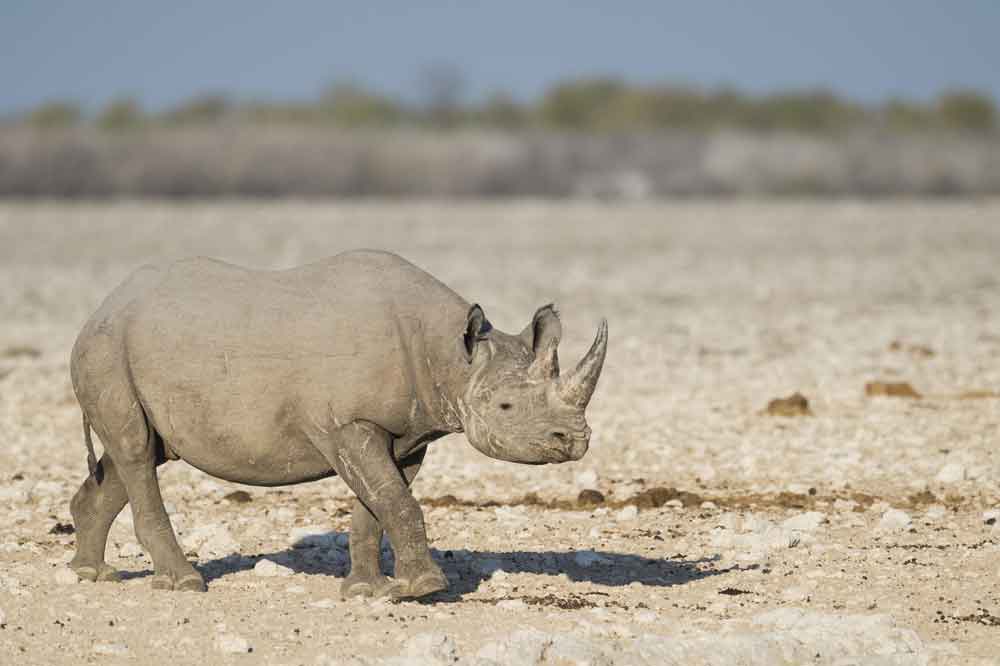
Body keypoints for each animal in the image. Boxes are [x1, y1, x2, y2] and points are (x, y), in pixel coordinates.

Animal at [70, 250, 604, 596]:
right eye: (507, 408)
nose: (575, 442)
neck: (452, 355)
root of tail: (102, 306)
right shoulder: (345, 422)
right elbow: (395, 500)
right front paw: (426, 588)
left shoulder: (407, 434)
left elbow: (379, 503)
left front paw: (368, 589)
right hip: (107, 347)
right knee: (137, 452)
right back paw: (183, 584)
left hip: (135, 349)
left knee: (138, 455)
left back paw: (92, 575)